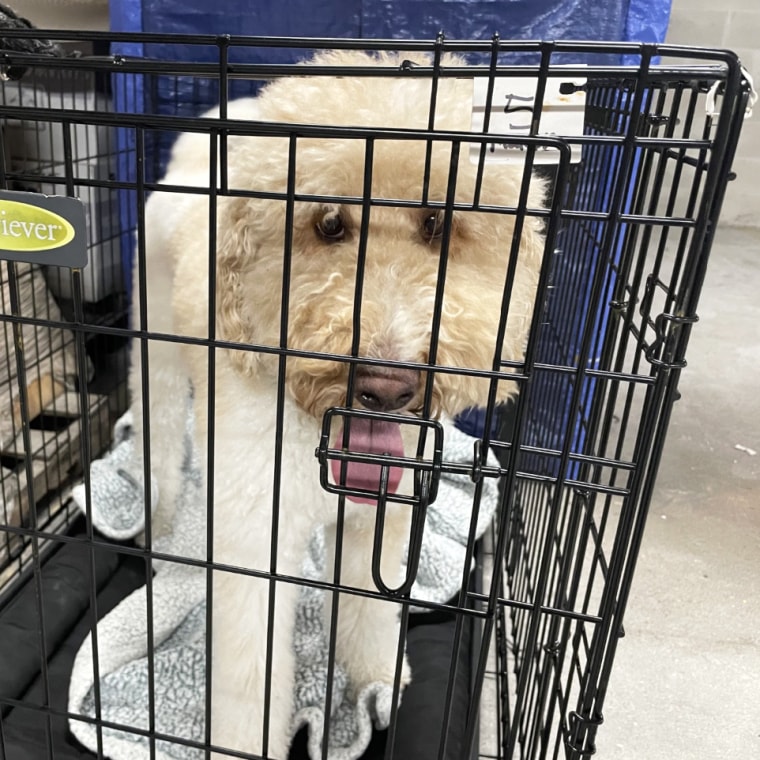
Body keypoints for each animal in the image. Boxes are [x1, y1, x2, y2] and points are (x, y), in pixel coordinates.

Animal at [129, 50, 548, 756]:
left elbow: (369, 612)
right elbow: (249, 675)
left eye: (438, 224)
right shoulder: (254, 542)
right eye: (328, 223)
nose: (386, 386)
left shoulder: (378, 519)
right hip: (155, 345)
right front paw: (243, 741)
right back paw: (158, 534)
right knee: (157, 442)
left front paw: (375, 682)